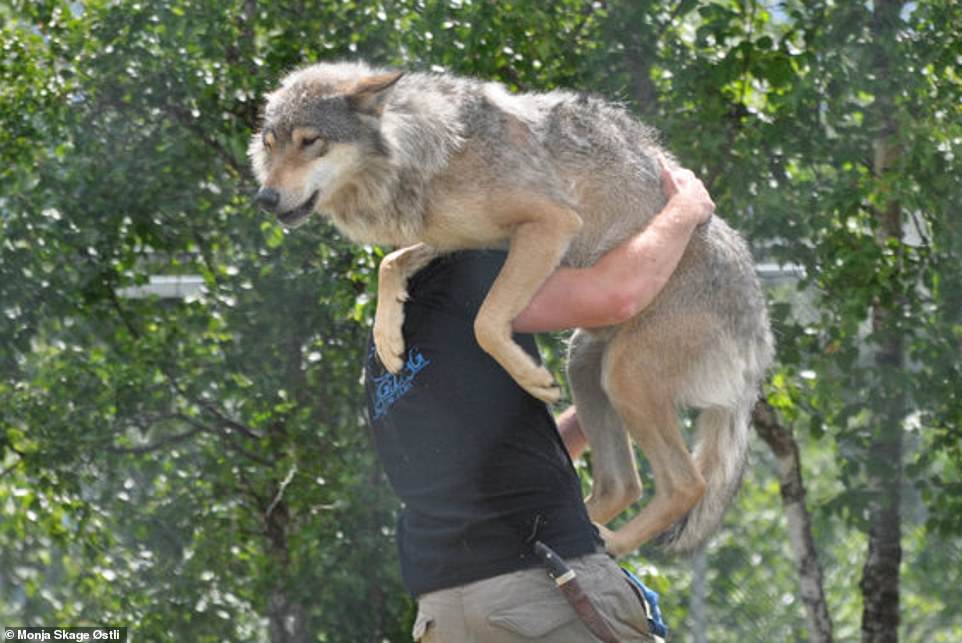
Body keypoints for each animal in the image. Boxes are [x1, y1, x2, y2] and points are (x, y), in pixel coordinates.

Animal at [249, 61, 774, 556]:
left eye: (310, 141)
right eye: (270, 144)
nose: (264, 197)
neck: (426, 154)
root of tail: (759, 343)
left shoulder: (549, 223)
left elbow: (484, 321)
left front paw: (529, 377)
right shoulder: (462, 243)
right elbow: (389, 263)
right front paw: (388, 337)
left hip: (624, 375)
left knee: (686, 485)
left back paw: (616, 542)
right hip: (587, 364)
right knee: (622, 485)